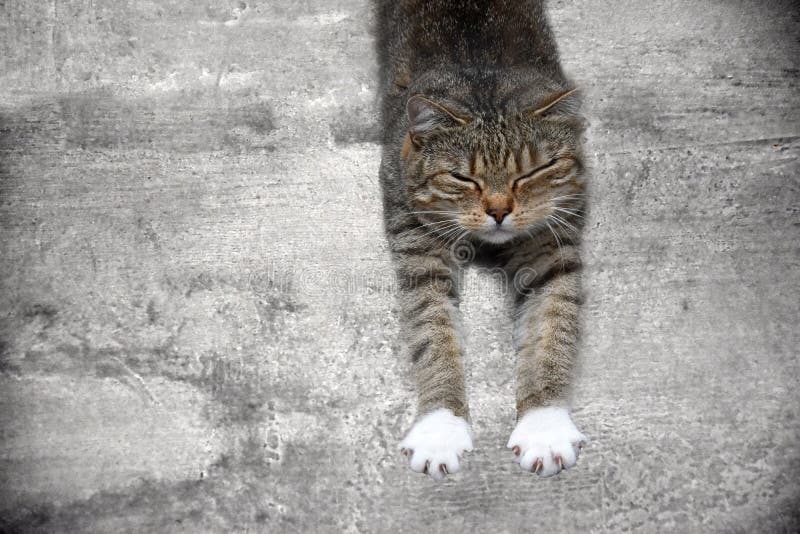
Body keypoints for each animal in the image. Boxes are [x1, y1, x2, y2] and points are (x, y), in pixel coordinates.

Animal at [374, 0, 588, 482]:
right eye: (462, 178)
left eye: (532, 172)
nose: (499, 210)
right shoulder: (418, 246)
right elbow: (433, 333)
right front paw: (440, 428)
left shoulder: (553, 246)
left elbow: (554, 327)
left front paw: (544, 425)